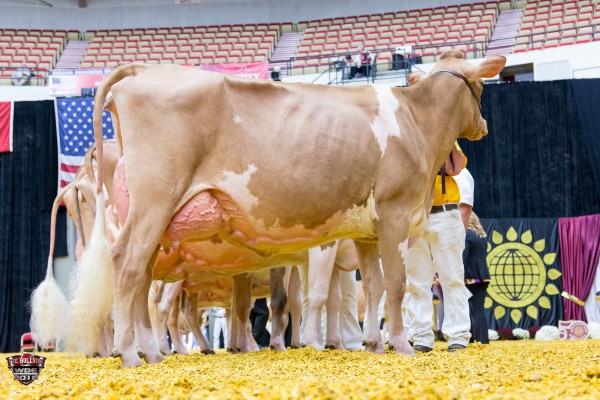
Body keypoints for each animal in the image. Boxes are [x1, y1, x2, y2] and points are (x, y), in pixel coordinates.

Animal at [87, 50, 505, 366]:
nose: (484, 125)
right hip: (155, 199)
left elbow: (373, 285)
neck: (416, 121)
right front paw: (401, 346)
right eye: (483, 86)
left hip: (155, 216)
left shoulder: (369, 229)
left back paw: (152, 354)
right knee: (127, 263)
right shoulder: (396, 213)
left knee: (143, 275)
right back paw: (129, 354)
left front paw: (373, 344)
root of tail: (143, 71)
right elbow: (396, 285)